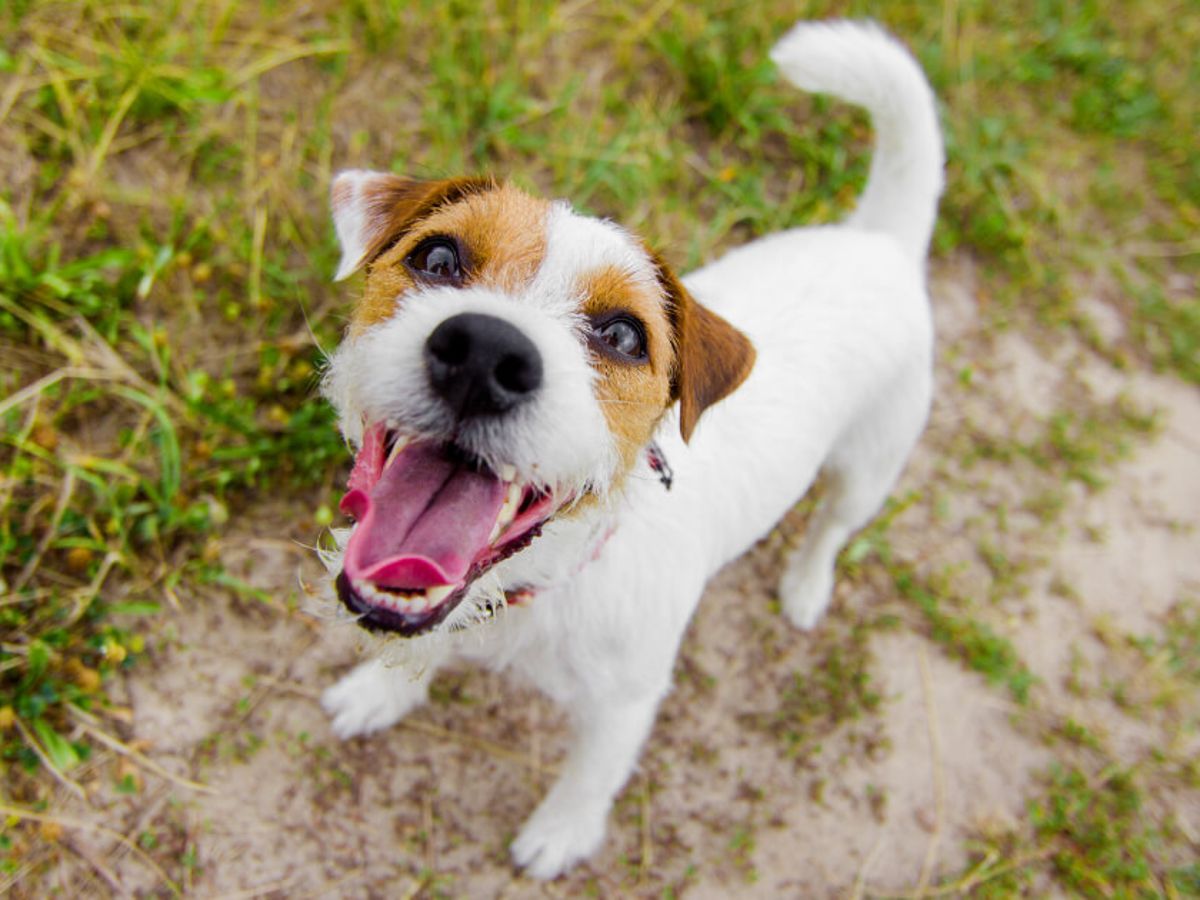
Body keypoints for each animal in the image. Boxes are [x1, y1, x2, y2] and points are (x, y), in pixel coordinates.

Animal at [319, 21, 945, 883]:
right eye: (437, 258)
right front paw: (380, 691)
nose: (484, 354)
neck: (549, 575)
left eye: (622, 335)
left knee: (833, 526)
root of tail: (880, 242)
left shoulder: (625, 704)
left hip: (869, 466)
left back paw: (805, 586)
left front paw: (560, 830)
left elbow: (592, 773)